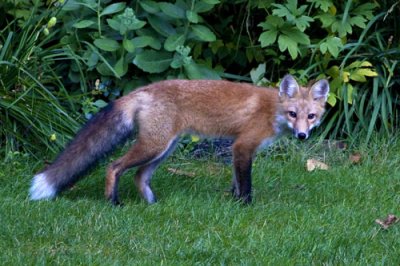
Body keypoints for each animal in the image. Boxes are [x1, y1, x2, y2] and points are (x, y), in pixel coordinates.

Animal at [28, 76, 328, 205]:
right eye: (293, 114)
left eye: (311, 116)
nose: (302, 135)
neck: (272, 111)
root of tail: (142, 90)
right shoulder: (243, 146)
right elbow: (245, 185)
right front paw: (245, 207)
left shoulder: (237, 150)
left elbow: (234, 181)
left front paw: (232, 203)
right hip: (154, 146)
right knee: (114, 166)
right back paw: (113, 202)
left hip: (164, 149)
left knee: (139, 176)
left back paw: (152, 204)